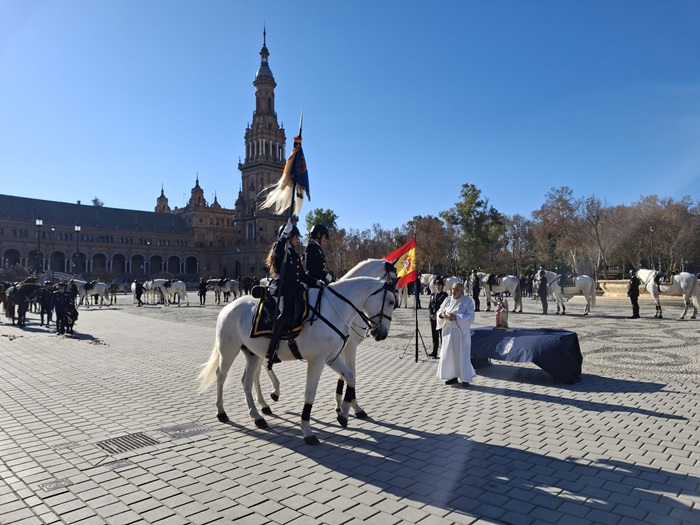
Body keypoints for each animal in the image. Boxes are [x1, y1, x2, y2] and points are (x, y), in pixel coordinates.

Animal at [196, 276, 400, 444]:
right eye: (391, 301)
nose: (382, 334)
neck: (334, 310)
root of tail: (228, 307)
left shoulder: (332, 358)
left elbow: (351, 377)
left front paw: (343, 413)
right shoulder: (317, 361)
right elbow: (310, 394)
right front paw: (307, 430)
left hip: (253, 354)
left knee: (247, 380)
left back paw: (257, 415)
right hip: (229, 351)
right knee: (221, 376)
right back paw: (222, 412)